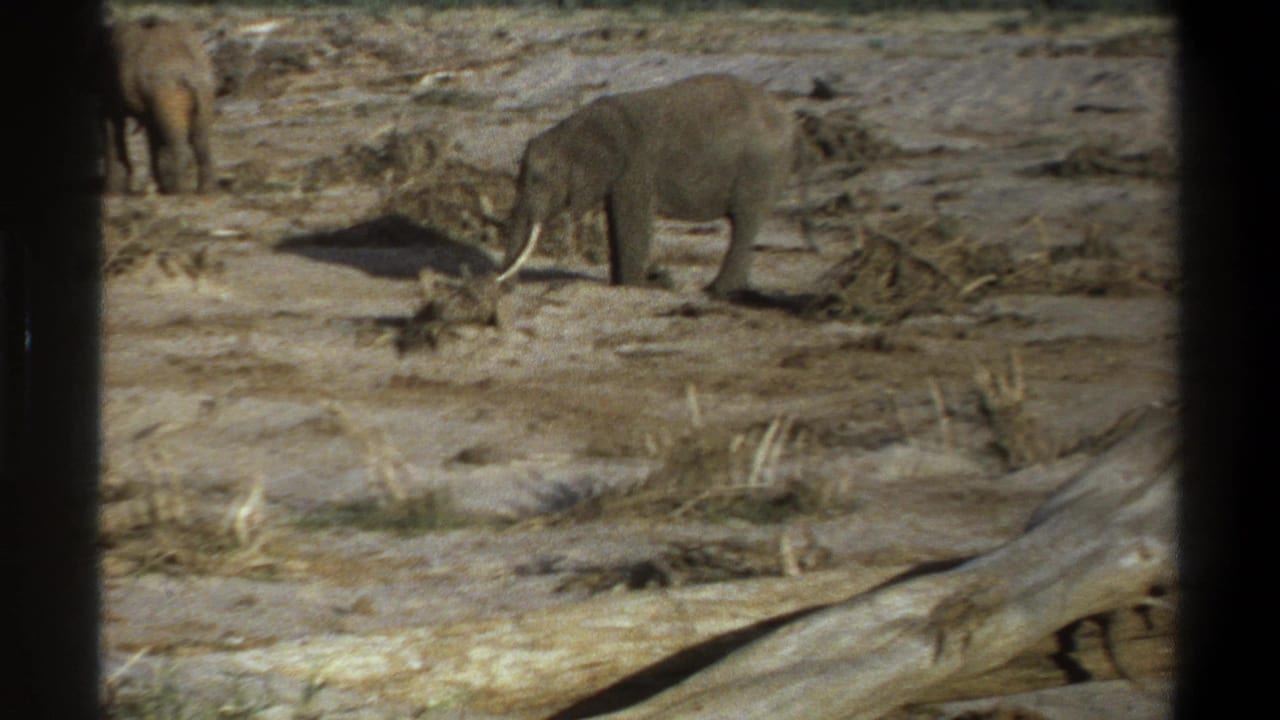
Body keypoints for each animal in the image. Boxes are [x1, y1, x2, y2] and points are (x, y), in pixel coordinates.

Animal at [99, 16, 216, 194]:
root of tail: (188, 74)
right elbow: (151, 133)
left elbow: (113, 125)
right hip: (204, 93)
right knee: (201, 139)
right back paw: (204, 190)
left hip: (168, 94)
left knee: (175, 138)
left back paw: (176, 189)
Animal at [495, 74, 796, 297]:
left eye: (537, 179)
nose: (504, 288)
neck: (575, 127)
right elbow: (615, 220)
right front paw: (627, 284)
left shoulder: (636, 167)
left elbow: (632, 221)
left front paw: (640, 285)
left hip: (760, 168)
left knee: (744, 222)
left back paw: (715, 291)